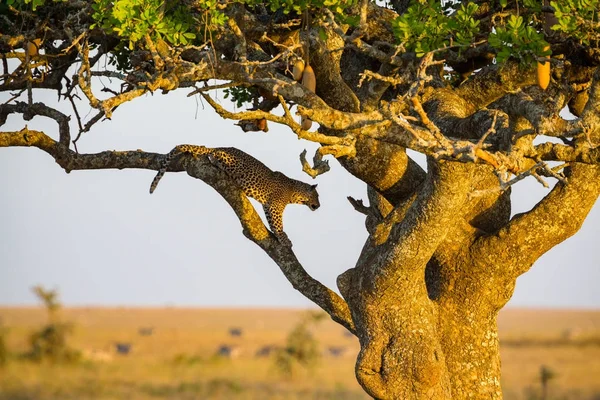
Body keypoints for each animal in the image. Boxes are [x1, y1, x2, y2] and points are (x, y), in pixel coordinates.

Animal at [148, 143, 322, 244]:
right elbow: (278, 224)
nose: (319, 206)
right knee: (214, 156)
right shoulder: (275, 207)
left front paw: (280, 235)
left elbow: (272, 222)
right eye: (317, 197)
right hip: (234, 164)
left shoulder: (267, 206)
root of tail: (220, 147)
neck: (295, 193)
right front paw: (284, 238)